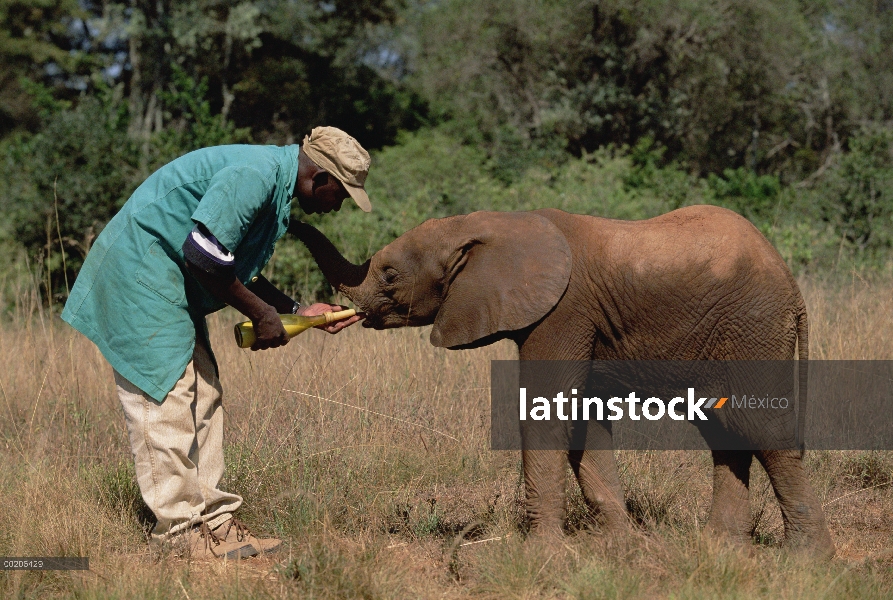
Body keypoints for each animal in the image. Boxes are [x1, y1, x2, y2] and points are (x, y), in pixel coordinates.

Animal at [290, 207, 832, 556]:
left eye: (388, 275)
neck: (483, 224)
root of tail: (792, 286)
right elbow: (583, 421)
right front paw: (622, 544)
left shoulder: (563, 310)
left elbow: (546, 409)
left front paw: (541, 551)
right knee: (724, 429)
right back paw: (721, 547)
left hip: (751, 326)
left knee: (759, 427)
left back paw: (807, 557)